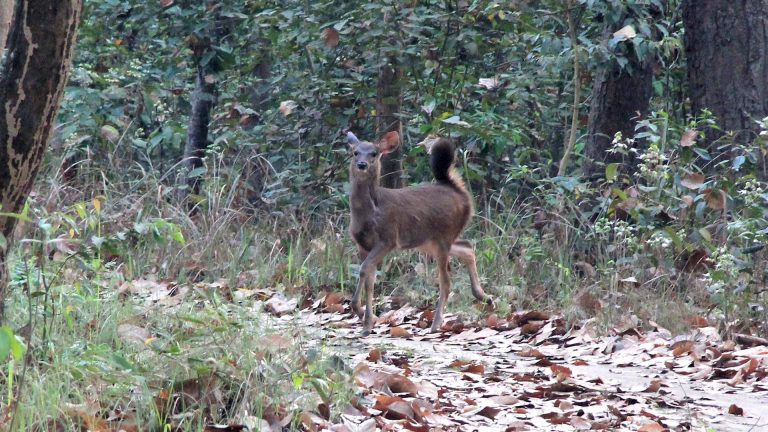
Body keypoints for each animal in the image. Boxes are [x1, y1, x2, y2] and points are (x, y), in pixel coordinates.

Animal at [346, 130, 492, 335]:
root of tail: (458, 192)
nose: (362, 164)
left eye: (374, 153)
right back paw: (484, 297)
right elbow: (369, 279)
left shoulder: (388, 238)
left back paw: (436, 323)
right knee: (467, 247)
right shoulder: (362, 244)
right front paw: (367, 320)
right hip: (429, 241)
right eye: (355, 152)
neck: (370, 211)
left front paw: (364, 317)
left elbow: (363, 270)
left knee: (446, 281)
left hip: (444, 235)